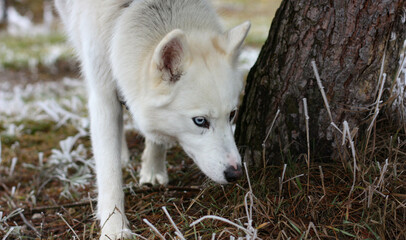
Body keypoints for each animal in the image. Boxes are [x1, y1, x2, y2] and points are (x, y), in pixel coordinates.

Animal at [54, 0, 251, 238]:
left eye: (232, 114)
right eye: (200, 121)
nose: (236, 173)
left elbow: (155, 136)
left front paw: (153, 170)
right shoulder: (103, 94)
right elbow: (109, 172)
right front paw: (114, 227)